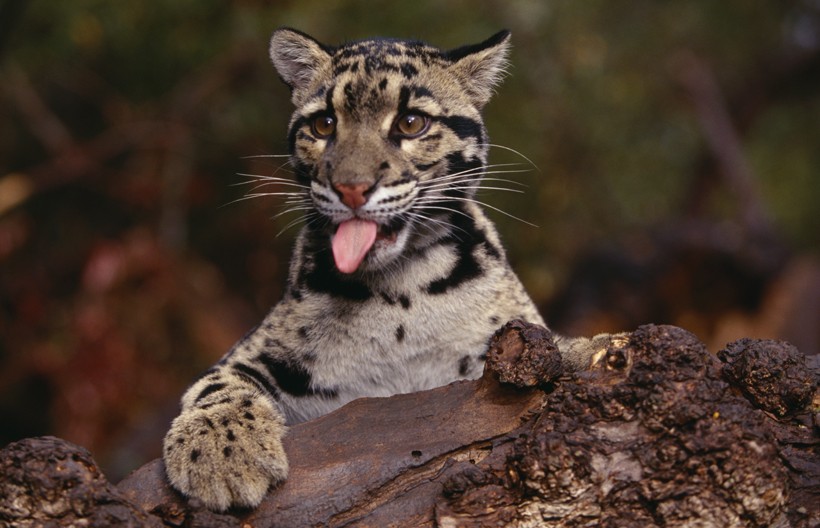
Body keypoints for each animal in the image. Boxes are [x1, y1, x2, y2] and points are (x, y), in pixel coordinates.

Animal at [163, 26, 616, 510]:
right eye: (324, 124)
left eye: (411, 123)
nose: (350, 188)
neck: (400, 291)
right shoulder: (258, 352)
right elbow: (219, 384)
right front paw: (220, 454)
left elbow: (555, 348)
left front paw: (599, 350)